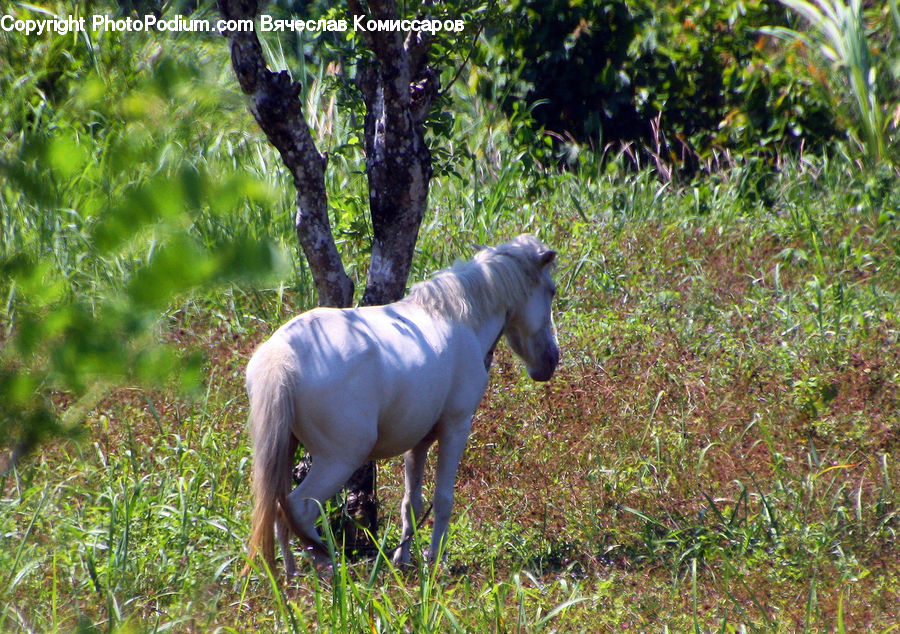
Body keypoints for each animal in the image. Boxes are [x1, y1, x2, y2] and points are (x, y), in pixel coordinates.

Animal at [243, 232, 560, 572]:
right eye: (551, 291)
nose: (550, 361)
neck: (460, 319)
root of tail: (282, 354)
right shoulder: (456, 428)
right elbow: (443, 499)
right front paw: (434, 561)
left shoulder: (418, 442)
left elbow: (412, 502)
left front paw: (403, 560)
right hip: (338, 459)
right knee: (299, 510)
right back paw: (328, 571)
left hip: (286, 448)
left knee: (279, 512)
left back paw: (289, 578)